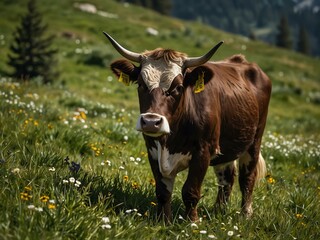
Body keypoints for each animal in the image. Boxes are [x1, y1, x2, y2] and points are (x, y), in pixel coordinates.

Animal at [104, 31, 272, 222]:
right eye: (140, 84)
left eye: (178, 87)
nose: (151, 121)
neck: (170, 140)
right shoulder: (153, 150)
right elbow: (162, 191)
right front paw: (164, 220)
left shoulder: (203, 151)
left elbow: (190, 191)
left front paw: (192, 222)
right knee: (227, 178)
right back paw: (219, 211)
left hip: (254, 141)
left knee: (247, 178)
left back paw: (245, 214)